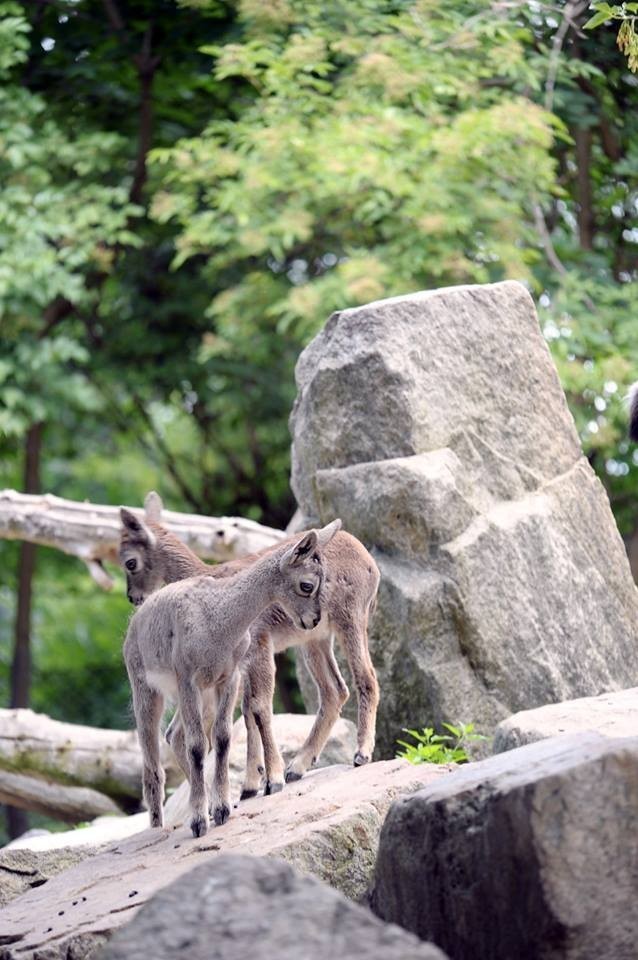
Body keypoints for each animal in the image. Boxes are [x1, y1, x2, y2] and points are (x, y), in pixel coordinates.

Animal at [120, 496, 380, 796]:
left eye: (130, 562)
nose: (133, 597)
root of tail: (369, 561)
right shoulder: (242, 664)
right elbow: (247, 711)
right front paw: (252, 783)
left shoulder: (258, 645)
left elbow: (258, 707)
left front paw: (271, 779)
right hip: (314, 639)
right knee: (334, 691)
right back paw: (297, 766)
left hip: (350, 618)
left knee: (366, 677)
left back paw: (361, 753)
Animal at [124, 520, 340, 836]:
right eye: (307, 584)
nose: (313, 620)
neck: (218, 620)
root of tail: (134, 621)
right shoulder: (188, 679)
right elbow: (197, 745)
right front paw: (199, 822)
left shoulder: (228, 678)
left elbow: (223, 737)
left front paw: (221, 809)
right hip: (146, 689)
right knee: (152, 756)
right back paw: (156, 824)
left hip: (203, 697)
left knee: (174, 735)